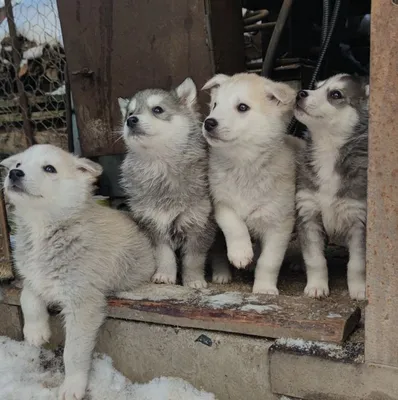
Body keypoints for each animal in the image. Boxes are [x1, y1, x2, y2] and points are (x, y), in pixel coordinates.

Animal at [0, 145, 156, 400]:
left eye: (49, 168)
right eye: (18, 165)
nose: (14, 173)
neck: (42, 227)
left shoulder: (83, 302)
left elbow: (73, 351)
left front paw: (73, 385)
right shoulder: (34, 274)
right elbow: (27, 294)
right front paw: (35, 331)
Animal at [119, 77, 227, 288]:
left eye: (157, 109)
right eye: (130, 113)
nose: (130, 121)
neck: (161, 166)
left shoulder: (199, 224)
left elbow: (193, 259)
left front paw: (194, 280)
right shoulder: (154, 223)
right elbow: (164, 255)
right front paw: (165, 275)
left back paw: (222, 274)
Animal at [202, 73, 298, 296]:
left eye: (242, 107)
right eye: (215, 105)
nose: (209, 122)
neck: (243, 165)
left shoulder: (280, 223)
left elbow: (269, 261)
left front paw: (264, 288)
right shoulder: (221, 202)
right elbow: (234, 224)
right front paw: (240, 253)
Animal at [294, 72, 368, 300]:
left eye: (335, 94)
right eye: (317, 86)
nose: (300, 93)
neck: (327, 148)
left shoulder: (359, 220)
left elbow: (357, 263)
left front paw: (359, 290)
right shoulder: (308, 213)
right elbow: (315, 258)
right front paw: (316, 286)